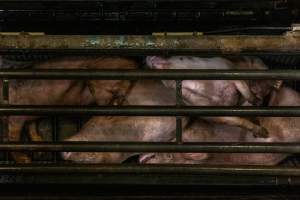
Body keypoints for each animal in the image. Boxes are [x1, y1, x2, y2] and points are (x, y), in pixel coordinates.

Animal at [145, 55, 282, 138]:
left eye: (181, 57)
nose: (148, 57)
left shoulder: (228, 71)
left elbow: (244, 89)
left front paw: (256, 102)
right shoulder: (209, 112)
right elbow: (238, 121)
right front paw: (263, 134)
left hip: (259, 64)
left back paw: (277, 84)